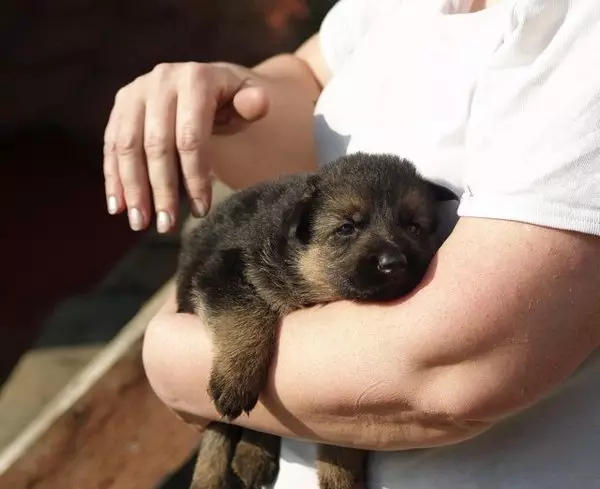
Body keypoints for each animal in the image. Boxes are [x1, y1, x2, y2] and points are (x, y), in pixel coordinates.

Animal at [176, 152, 458, 488]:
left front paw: (340, 475)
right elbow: (243, 312)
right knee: (217, 432)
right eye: (347, 228)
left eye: (413, 226)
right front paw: (236, 378)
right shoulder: (222, 271)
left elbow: (337, 436)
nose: (394, 263)